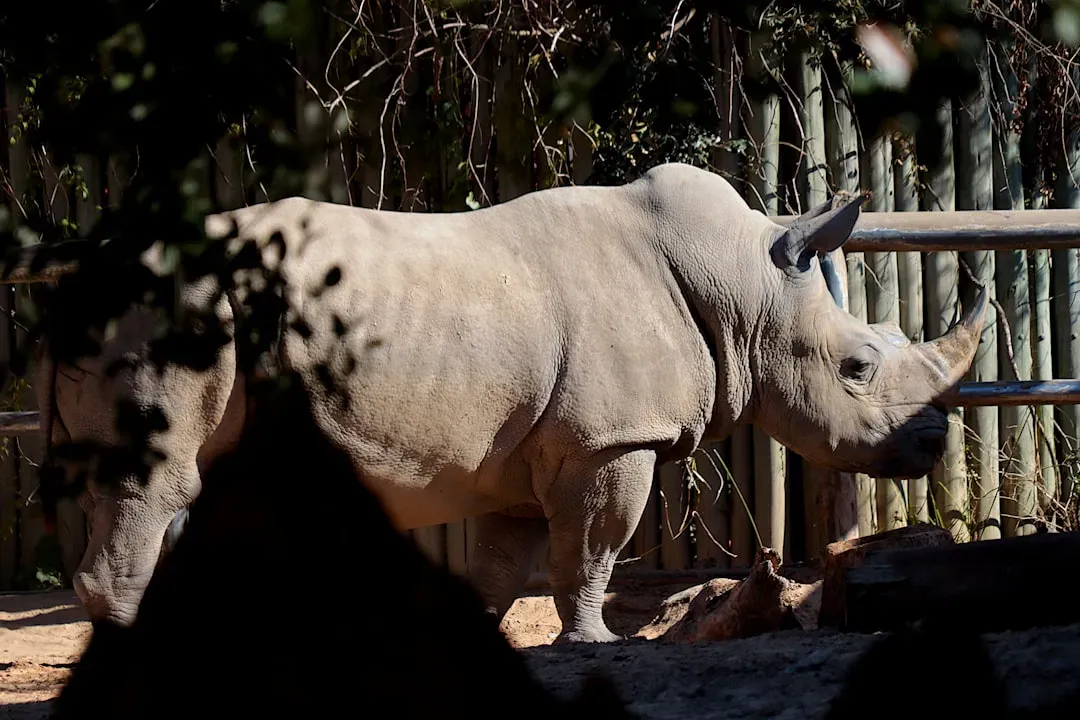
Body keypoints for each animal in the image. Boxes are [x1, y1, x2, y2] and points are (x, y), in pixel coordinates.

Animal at [24, 162, 986, 643]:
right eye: (858, 368)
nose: (931, 443)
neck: (749, 288)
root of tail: (74, 280)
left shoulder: (528, 452)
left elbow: (501, 568)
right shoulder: (610, 440)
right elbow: (590, 552)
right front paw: (594, 645)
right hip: (171, 308)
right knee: (159, 486)